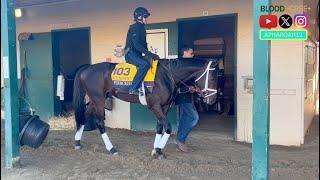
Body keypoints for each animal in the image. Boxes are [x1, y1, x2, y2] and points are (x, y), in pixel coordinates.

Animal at [73, 57, 219, 159]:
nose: (212, 100)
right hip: (99, 100)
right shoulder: (155, 106)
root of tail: (86, 69)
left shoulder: (165, 106)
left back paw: (77, 142)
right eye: (212, 77)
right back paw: (112, 149)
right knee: (99, 123)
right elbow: (168, 128)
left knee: (84, 116)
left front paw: (156, 150)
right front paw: (159, 151)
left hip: (94, 100)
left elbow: (159, 127)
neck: (167, 75)